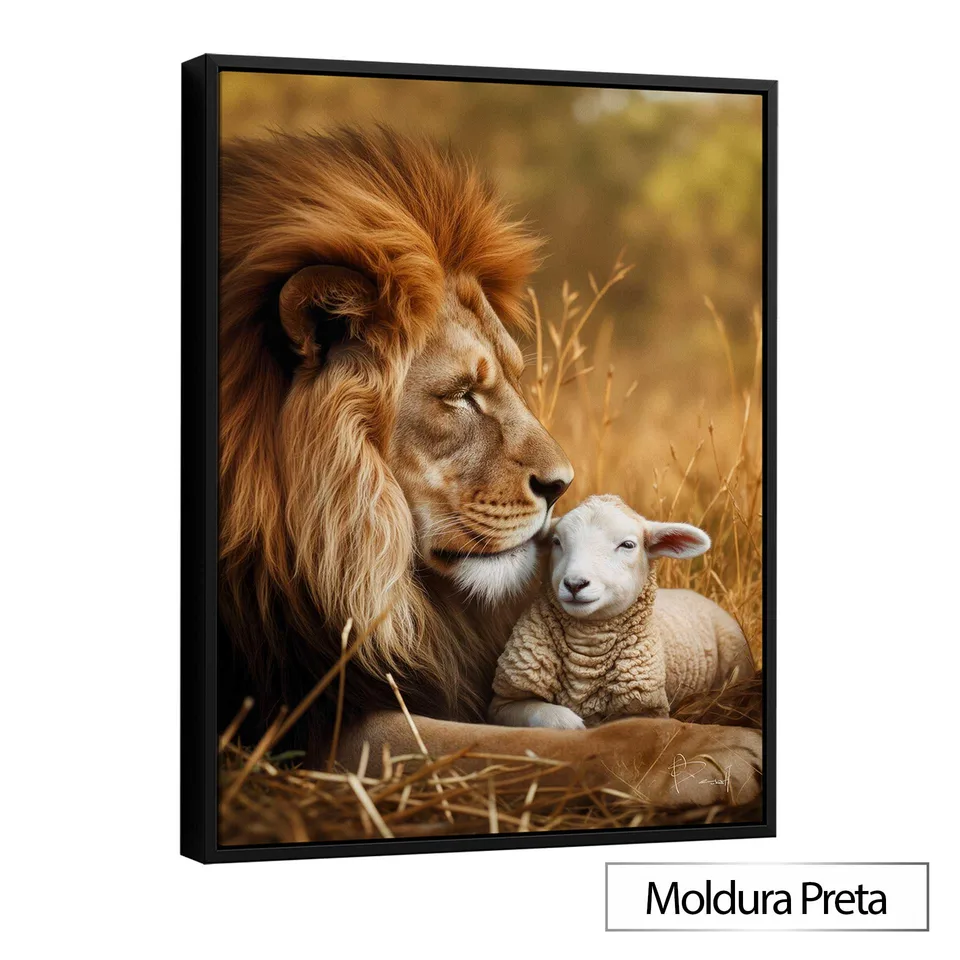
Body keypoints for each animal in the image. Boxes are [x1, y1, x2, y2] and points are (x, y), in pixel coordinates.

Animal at [218, 126, 761, 808]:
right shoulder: (301, 716)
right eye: (461, 394)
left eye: (511, 377)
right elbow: (534, 744)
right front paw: (711, 750)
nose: (561, 485)